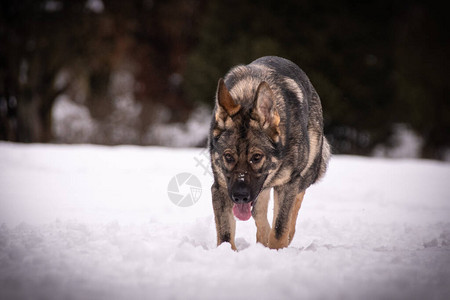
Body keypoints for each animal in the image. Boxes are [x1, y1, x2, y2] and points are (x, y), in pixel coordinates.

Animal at [208, 56, 330, 251]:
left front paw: (276, 251)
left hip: (306, 172)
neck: (248, 96)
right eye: (228, 157)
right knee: (260, 216)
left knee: (295, 202)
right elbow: (226, 235)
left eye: (256, 157)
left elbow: (280, 229)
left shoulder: (287, 185)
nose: (239, 196)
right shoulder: (221, 188)